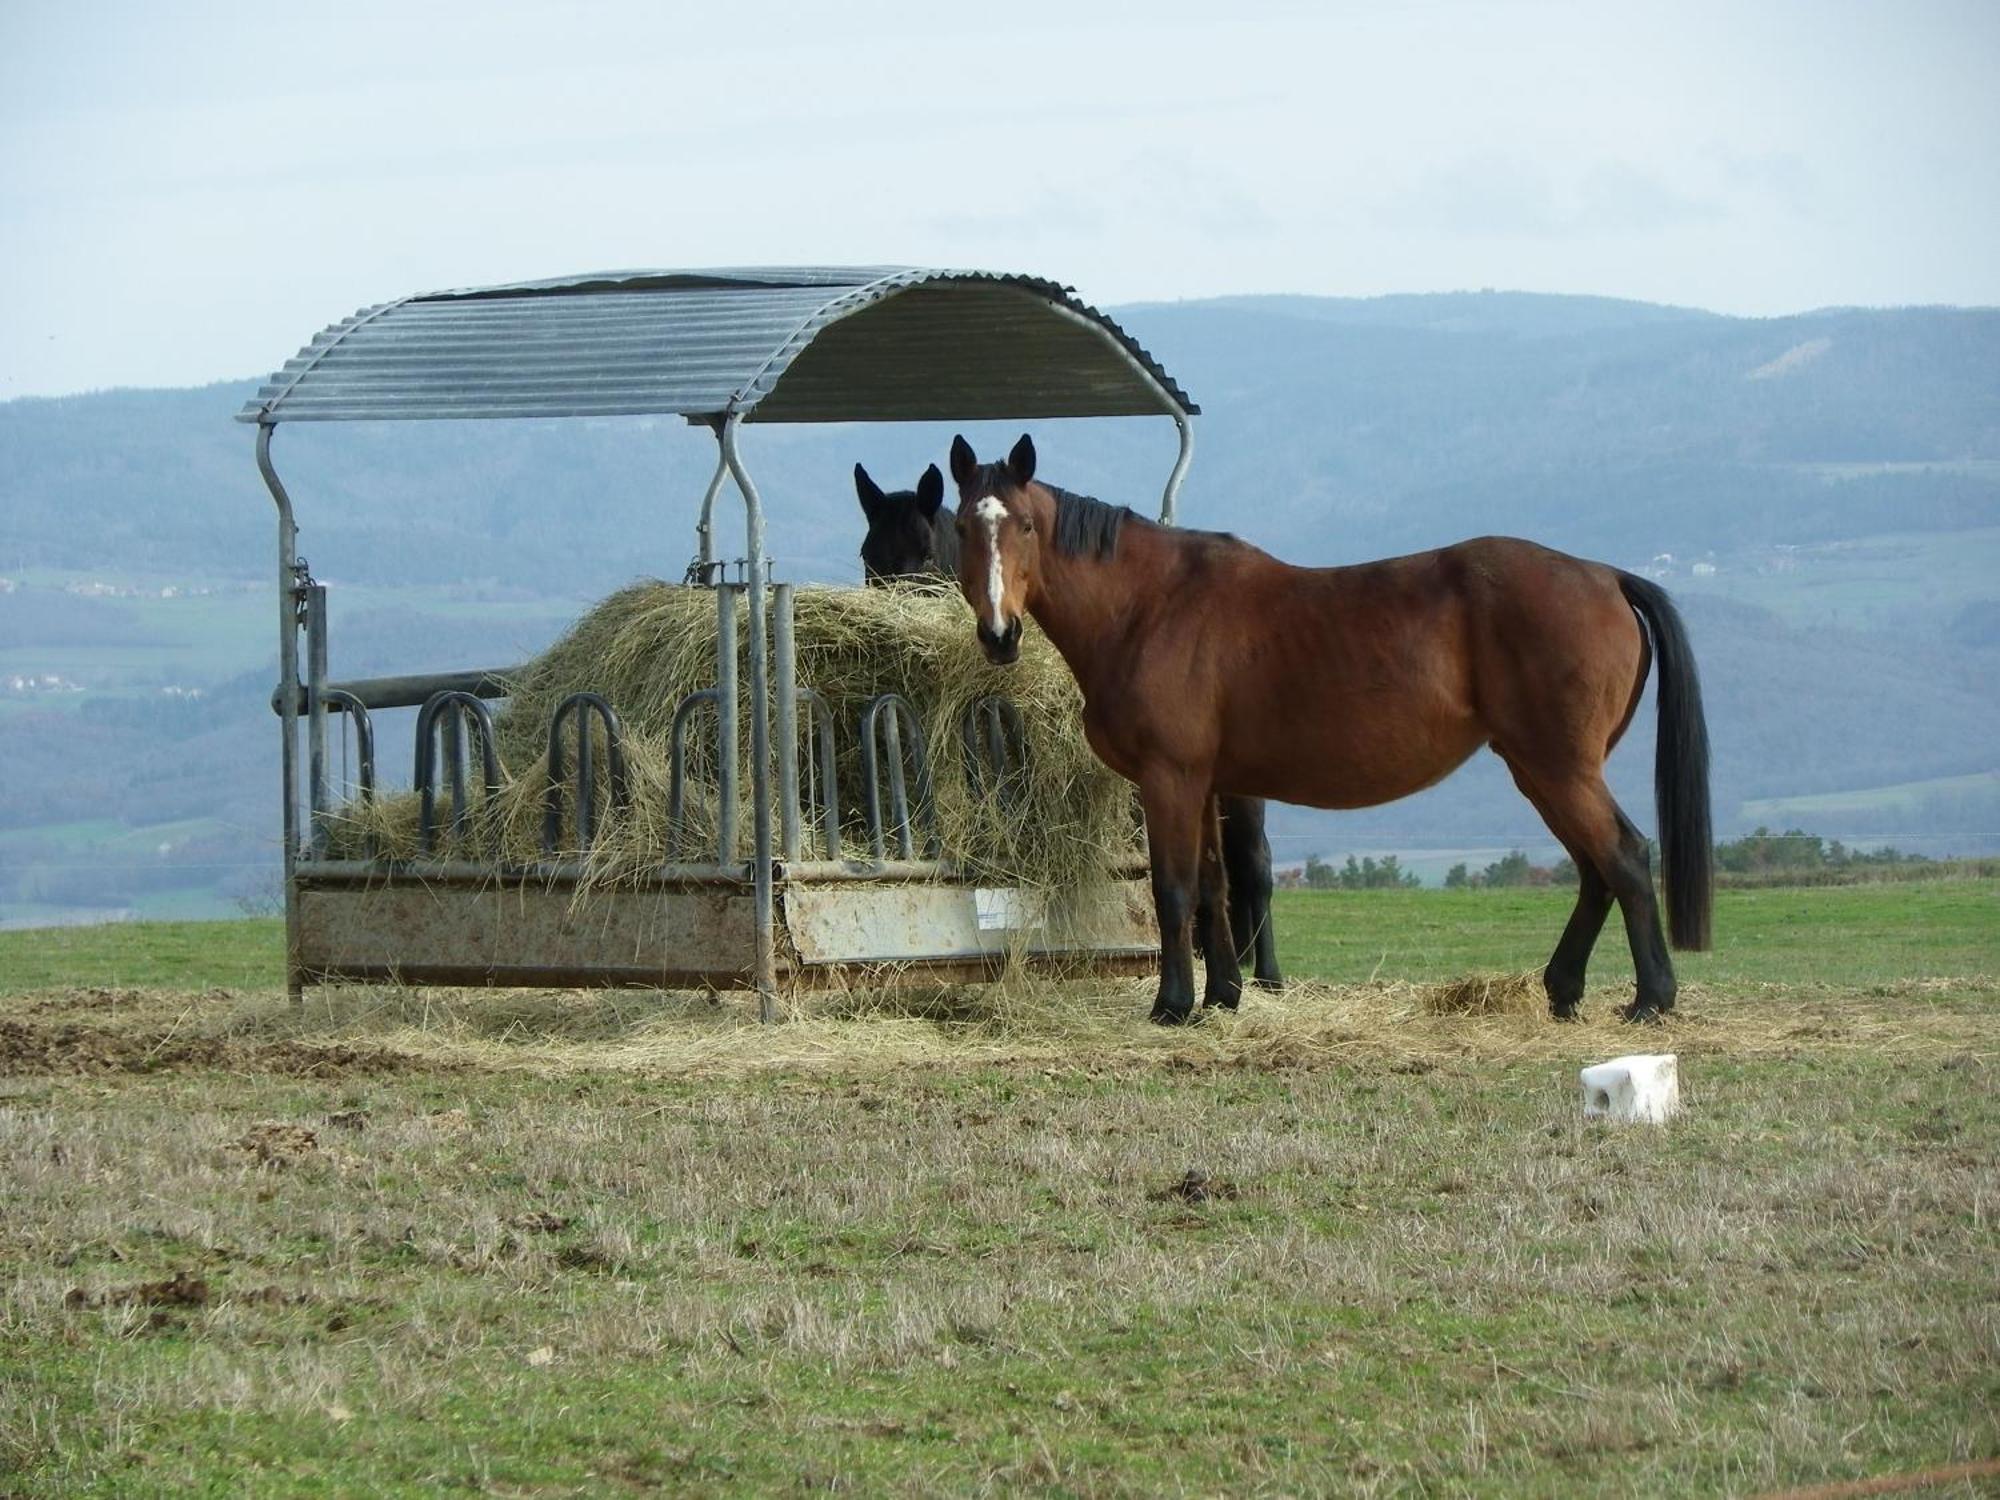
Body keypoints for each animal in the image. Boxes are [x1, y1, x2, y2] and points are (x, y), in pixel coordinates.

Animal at [944, 428, 1712, 1032]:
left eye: (1024, 525)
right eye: (962, 528)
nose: (999, 633)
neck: (1151, 604)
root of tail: (1606, 577)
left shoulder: (1170, 778)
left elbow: (1175, 889)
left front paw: (1173, 1005)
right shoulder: (1208, 784)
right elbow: (1216, 889)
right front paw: (1223, 996)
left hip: (1558, 767)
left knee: (1623, 857)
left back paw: (1652, 999)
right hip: (1541, 770)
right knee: (1594, 870)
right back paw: (1564, 990)